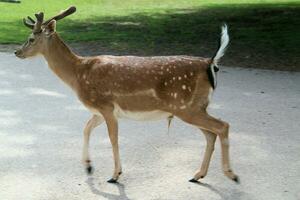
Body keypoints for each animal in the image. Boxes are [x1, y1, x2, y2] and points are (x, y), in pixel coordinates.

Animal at [15, 5, 239, 184]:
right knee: (211, 134)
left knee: (222, 126)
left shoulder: (106, 106)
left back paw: (231, 174)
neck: (79, 74)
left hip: (187, 107)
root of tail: (210, 63)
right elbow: (86, 129)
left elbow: (113, 138)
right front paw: (88, 166)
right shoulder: (98, 111)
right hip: (193, 107)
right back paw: (198, 174)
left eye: (31, 39)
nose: (17, 52)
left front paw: (115, 175)